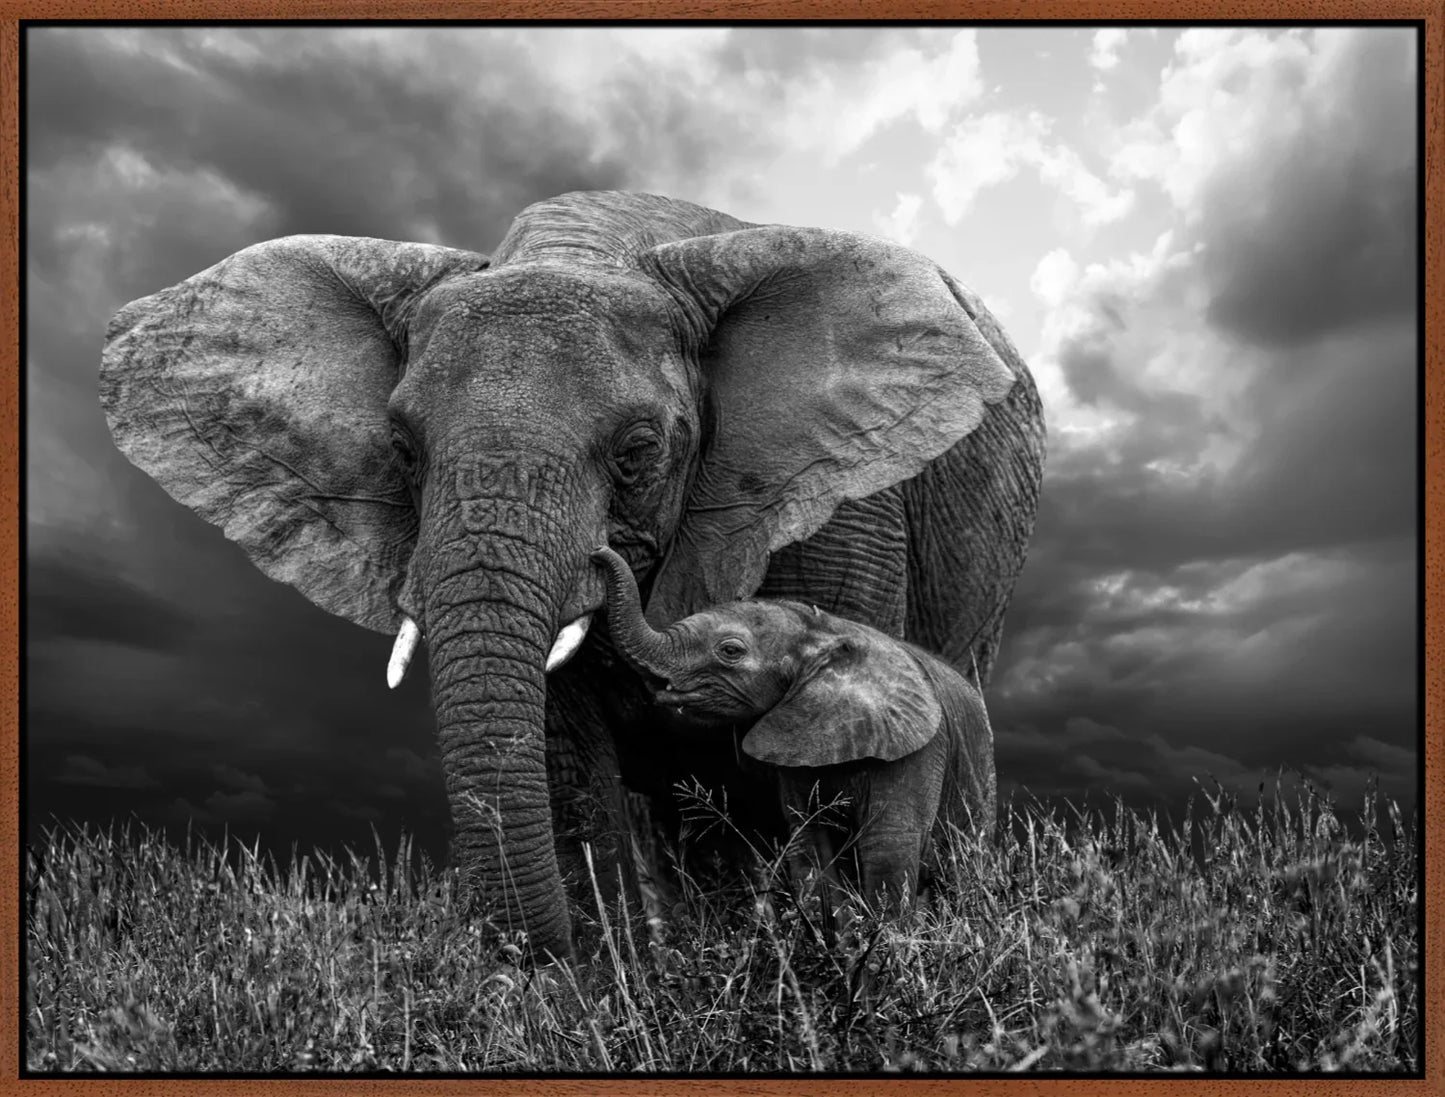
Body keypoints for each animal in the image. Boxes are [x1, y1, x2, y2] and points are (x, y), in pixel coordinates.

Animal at [592, 544, 995, 922]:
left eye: (730, 650)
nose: (598, 552)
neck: (823, 633)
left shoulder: (917, 751)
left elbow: (889, 846)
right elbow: (809, 846)